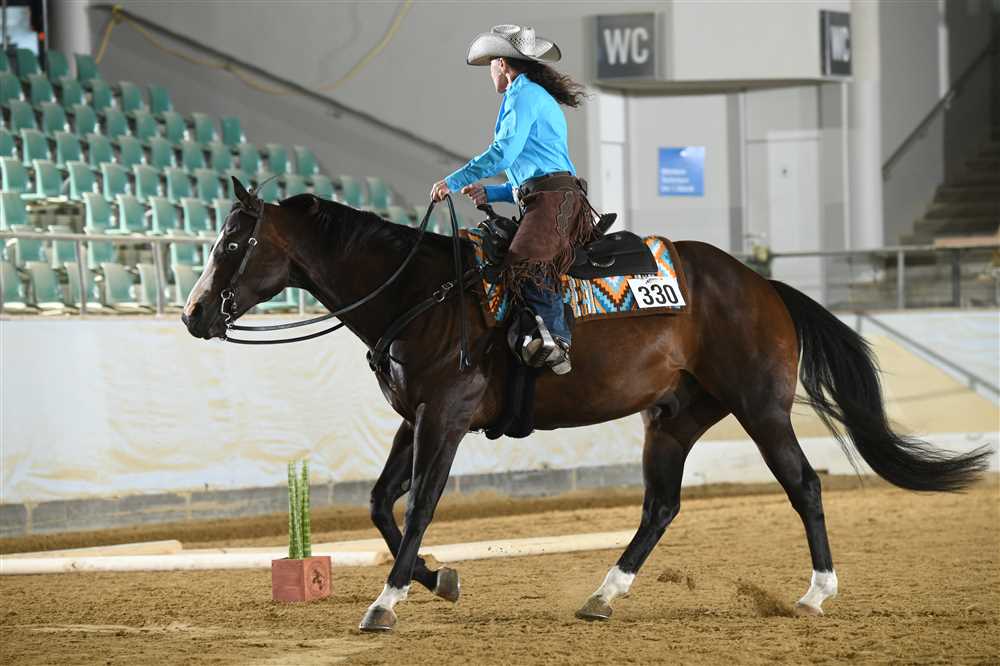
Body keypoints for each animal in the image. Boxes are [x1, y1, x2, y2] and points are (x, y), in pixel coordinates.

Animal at [182, 178, 990, 632]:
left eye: (233, 242)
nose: (193, 315)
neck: (421, 294)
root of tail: (761, 284)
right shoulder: (414, 418)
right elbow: (383, 504)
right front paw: (440, 580)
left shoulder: (446, 419)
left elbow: (421, 508)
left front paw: (386, 604)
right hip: (673, 418)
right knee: (661, 506)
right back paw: (604, 595)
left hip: (760, 408)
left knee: (805, 485)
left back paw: (817, 594)